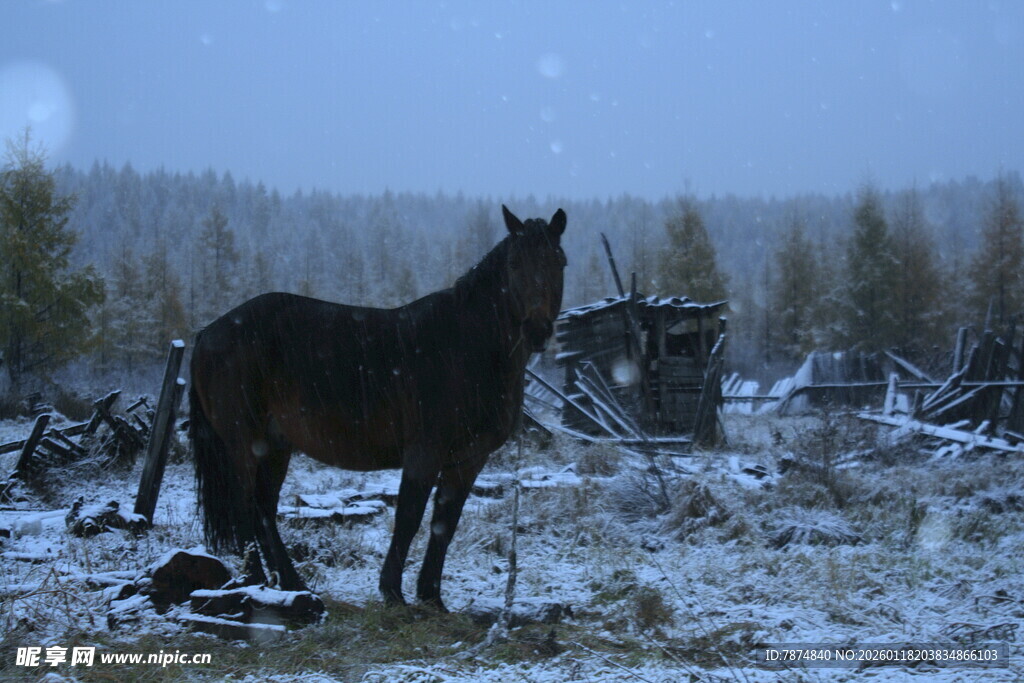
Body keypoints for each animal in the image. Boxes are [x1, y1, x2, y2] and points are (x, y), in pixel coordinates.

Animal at [189, 205, 566, 611]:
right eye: (514, 263)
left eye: (558, 261)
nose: (537, 329)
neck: (466, 347)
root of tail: (208, 332)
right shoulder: (424, 453)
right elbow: (409, 518)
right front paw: (393, 593)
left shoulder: (467, 461)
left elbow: (444, 525)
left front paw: (432, 597)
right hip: (244, 443)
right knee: (245, 509)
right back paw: (257, 585)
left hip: (275, 446)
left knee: (263, 510)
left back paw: (292, 585)